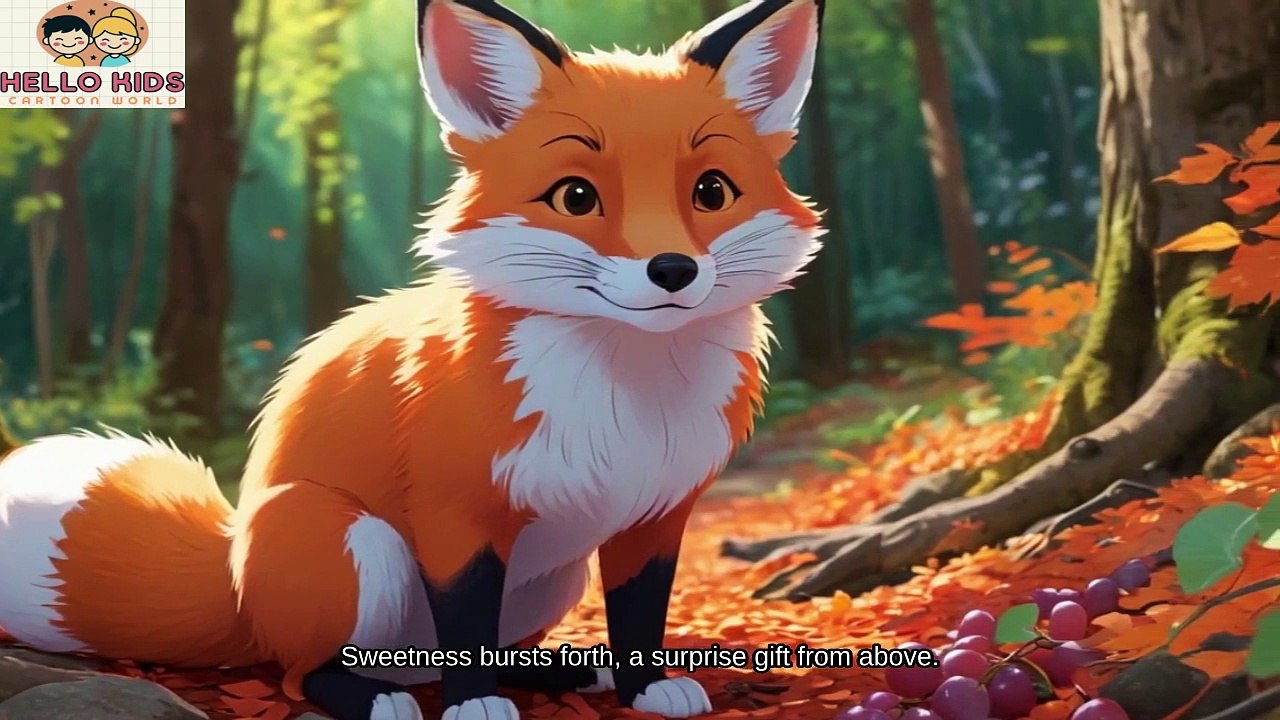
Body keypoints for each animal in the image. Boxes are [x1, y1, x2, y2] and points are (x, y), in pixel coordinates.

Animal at [0, 0, 826, 718]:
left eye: (711, 191)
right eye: (576, 196)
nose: (673, 271)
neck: (626, 398)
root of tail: (235, 579)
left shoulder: (655, 515)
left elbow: (638, 615)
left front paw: (644, 686)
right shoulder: (452, 512)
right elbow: (465, 620)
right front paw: (474, 706)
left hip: (551, 580)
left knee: (483, 648)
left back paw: (558, 671)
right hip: (353, 544)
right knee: (304, 672)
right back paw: (374, 696)